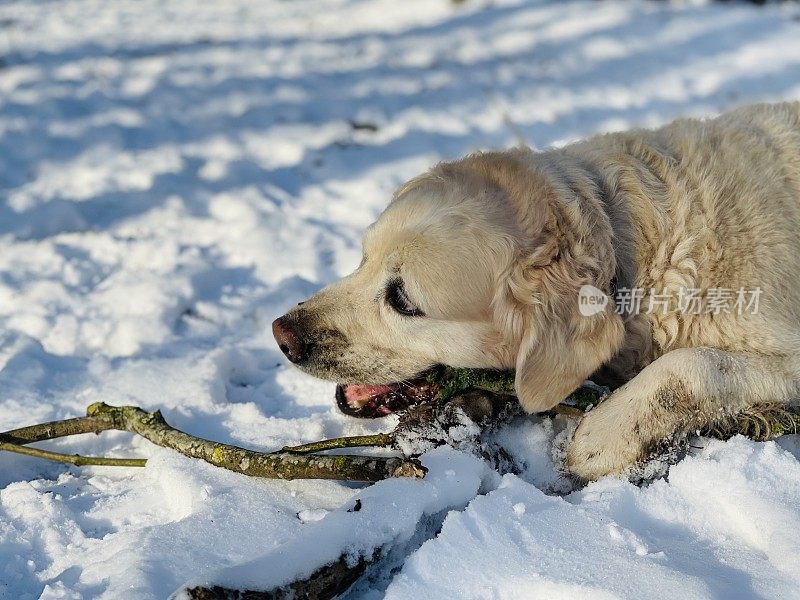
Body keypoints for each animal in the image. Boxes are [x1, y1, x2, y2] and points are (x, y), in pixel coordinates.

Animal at [272, 101, 796, 480]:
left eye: (402, 300)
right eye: (363, 260)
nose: (282, 334)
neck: (629, 244)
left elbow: (692, 363)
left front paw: (601, 436)